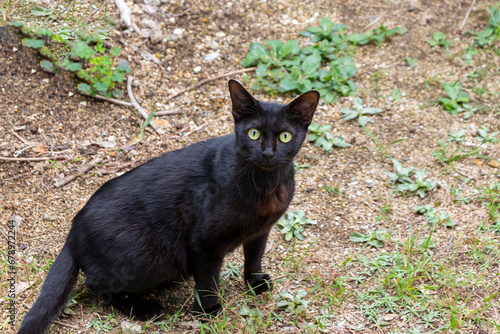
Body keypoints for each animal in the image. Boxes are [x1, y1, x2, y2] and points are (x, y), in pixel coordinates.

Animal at [17, 79, 318, 332]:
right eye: (253, 133)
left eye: (285, 137)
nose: (267, 153)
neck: (265, 184)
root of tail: (74, 229)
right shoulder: (204, 242)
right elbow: (208, 280)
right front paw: (208, 311)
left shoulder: (261, 230)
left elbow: (254, 257)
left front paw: (254, 283)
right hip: (147, 259)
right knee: (98, 285)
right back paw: (145, 308)